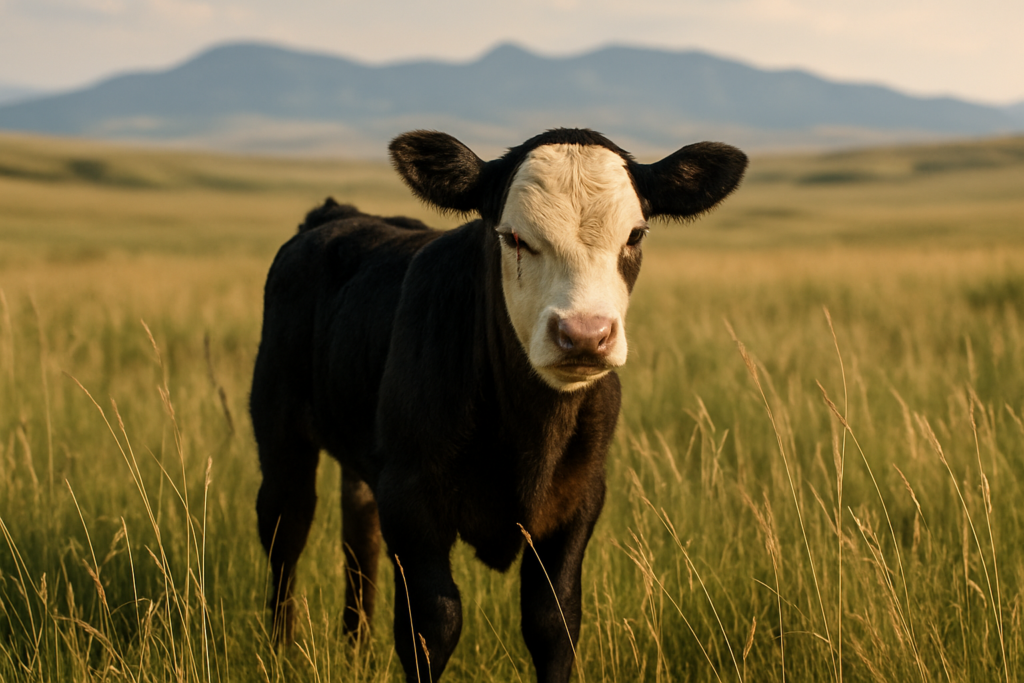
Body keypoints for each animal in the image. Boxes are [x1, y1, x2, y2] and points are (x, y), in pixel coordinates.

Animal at [250, 128, 747, 682]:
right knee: (286, 529)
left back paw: (355, 647)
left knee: (359, 536)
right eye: (513, 237)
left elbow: (554, 621)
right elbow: (432, 624)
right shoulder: (409, 496)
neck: (528, 433)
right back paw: (280, 651)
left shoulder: (580, 499)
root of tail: (334, 215)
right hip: (279, 427)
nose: (584, 334)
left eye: (635, 235)